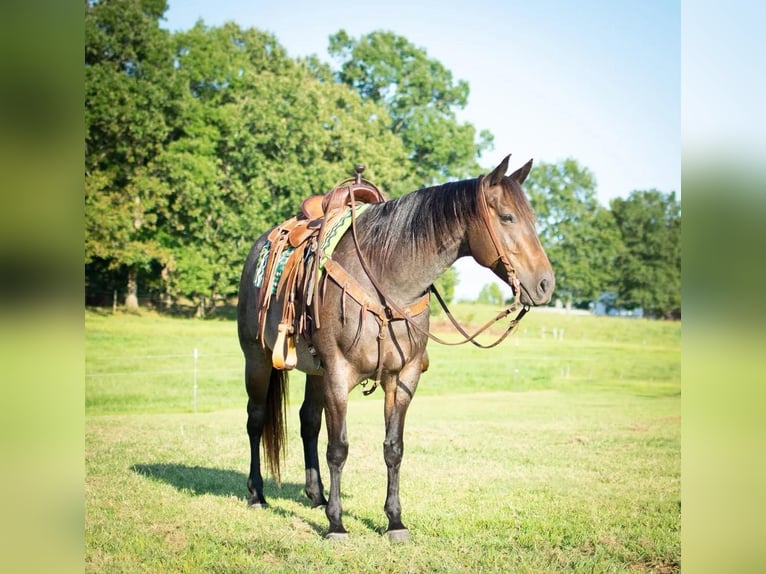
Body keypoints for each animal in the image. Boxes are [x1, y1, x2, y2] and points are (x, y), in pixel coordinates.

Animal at [237, 155, 556, 544]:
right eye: (508, 217)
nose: (545, 284)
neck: (384, 278)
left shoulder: (402, 378)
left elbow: (393, 448)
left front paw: (394, 521)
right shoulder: (339, 373)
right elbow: (338, 448)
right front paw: (336, 524)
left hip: (315, 372)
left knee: (308, 422)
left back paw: (317, 495)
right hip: (257, 359)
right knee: (256, 419)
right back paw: (257, 494)